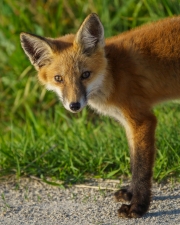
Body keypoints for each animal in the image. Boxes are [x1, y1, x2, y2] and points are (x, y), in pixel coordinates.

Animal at [20, 14, 180, 218]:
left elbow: (141, 168)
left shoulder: (142, 120)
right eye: (58, 79)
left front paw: (138, 206)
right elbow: (134, 161)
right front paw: (130, 194)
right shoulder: (129, 124)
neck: (113, 74)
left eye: (85, 75)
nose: (74, 105)